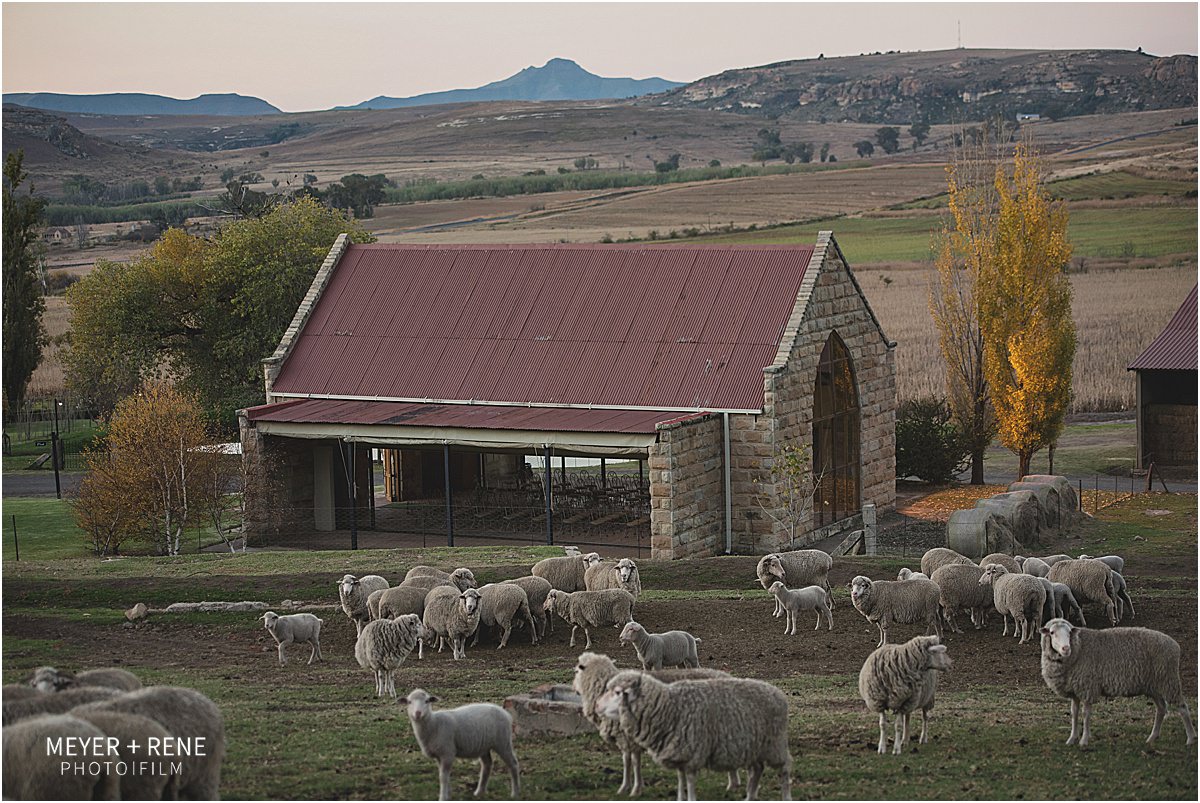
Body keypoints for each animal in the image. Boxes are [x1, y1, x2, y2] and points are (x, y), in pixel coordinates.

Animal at [568, 652, 729, 796]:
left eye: (576, 671)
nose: (573, 688)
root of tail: (725, 675)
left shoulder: (630, 737)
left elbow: (633, 762)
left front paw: (634, 789)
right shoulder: (626, 737)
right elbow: (628, 761)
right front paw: (628, 787)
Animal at [597, 667, 792, 796]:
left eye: (617, 692)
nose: (598, 705)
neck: (667, 706)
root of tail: (777, 692)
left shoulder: (692, 754)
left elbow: (689, 784)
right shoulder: (679, 754)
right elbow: (680, 782)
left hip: (775, 745)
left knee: (784, 770)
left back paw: (785, 796)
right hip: (754, 747)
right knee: (757, 771)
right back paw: (750, 797)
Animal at [1036, 619, 1195, 748]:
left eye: (1069, 632)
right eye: (1052, 632)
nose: (1066, 648)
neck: (1079, 648)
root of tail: (1175, 644)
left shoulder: (1088, 687)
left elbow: (1086, 714)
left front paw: (1084, 740)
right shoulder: (1075, 690)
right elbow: (1074, 713)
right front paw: (1071, 739)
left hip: (1169, 680)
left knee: (1182, 708)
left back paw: (1190, 739)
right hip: (1154, 685)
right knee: (1161, 709)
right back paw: (1152, 738)